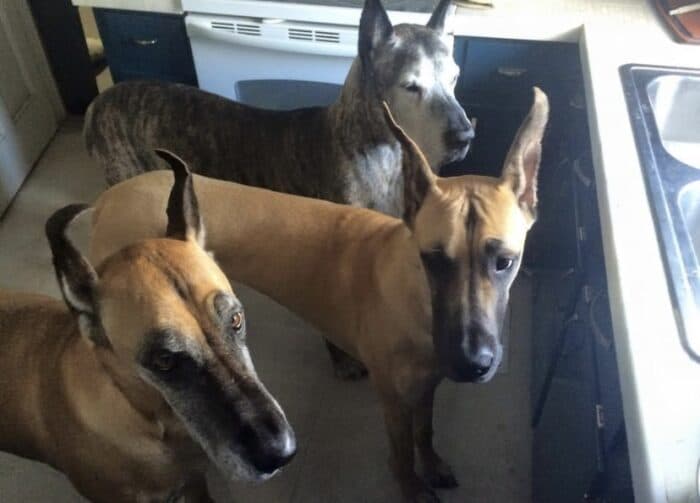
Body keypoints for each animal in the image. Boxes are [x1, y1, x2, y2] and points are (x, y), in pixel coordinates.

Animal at [86, 88, 548, 502]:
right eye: (433, 259)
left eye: (505, 261)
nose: (472, 363)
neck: (414, 297)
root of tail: (105, 200)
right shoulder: (393, 399)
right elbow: (401, 454)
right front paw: (413, 487)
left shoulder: (427, 385)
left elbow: (426, 429)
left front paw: (432, 464)